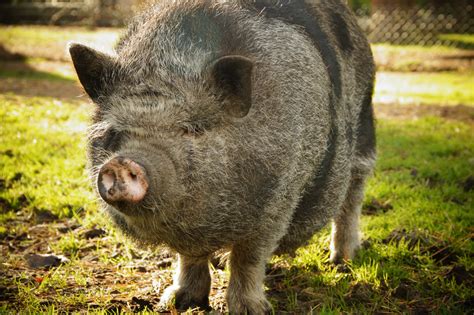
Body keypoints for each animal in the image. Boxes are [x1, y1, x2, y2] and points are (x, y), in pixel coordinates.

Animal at [69, 0, 374, 314]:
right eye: (115, 132)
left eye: (193, 128)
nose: (122, 162)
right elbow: (188, 255)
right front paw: (175, 301)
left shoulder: (280, 197)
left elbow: (249, 257)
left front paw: (252, 310)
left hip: (364, 125)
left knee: (353, 193)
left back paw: (342, 260)